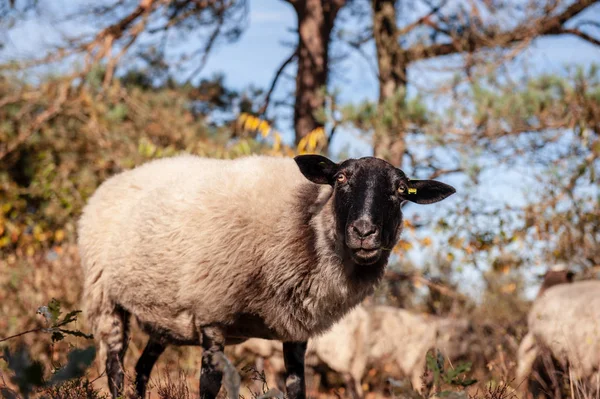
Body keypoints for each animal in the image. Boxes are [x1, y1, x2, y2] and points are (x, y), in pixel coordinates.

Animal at [78, 154, 454, 399]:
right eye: (340, 179)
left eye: (401, 190)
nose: (364, 231)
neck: (305, 222)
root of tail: (115, 180)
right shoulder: (213, 314)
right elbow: (209, 386)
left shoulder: (297, 330)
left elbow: (297, 389)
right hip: (106, 297)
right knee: (116, 369)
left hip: (165, 319)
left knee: (142, 369)